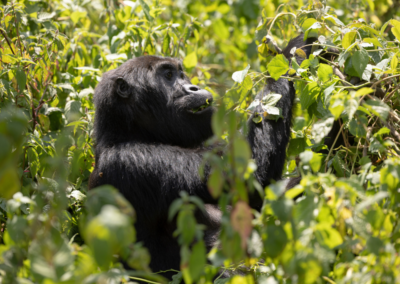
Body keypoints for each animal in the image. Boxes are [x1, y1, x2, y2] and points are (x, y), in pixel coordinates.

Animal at [88, 34, 316, 278]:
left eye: (180, 73)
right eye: (168, 76)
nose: (193, 86)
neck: (130, 131)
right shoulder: (135, 161)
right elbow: (249, 178)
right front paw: (296, 48)